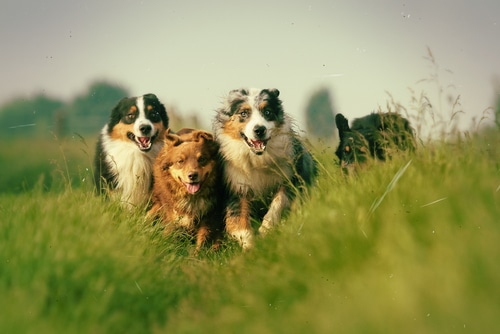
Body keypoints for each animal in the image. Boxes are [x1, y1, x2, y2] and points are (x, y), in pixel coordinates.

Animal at [214, 87, 316, 249]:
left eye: (267, 112)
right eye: (244, 113)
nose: (259, 130)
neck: (257, 159)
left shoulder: (290, 178)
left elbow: (278, 203)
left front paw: (265, 230)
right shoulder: (237, 188)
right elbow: (239, 221)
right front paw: (250, 247)